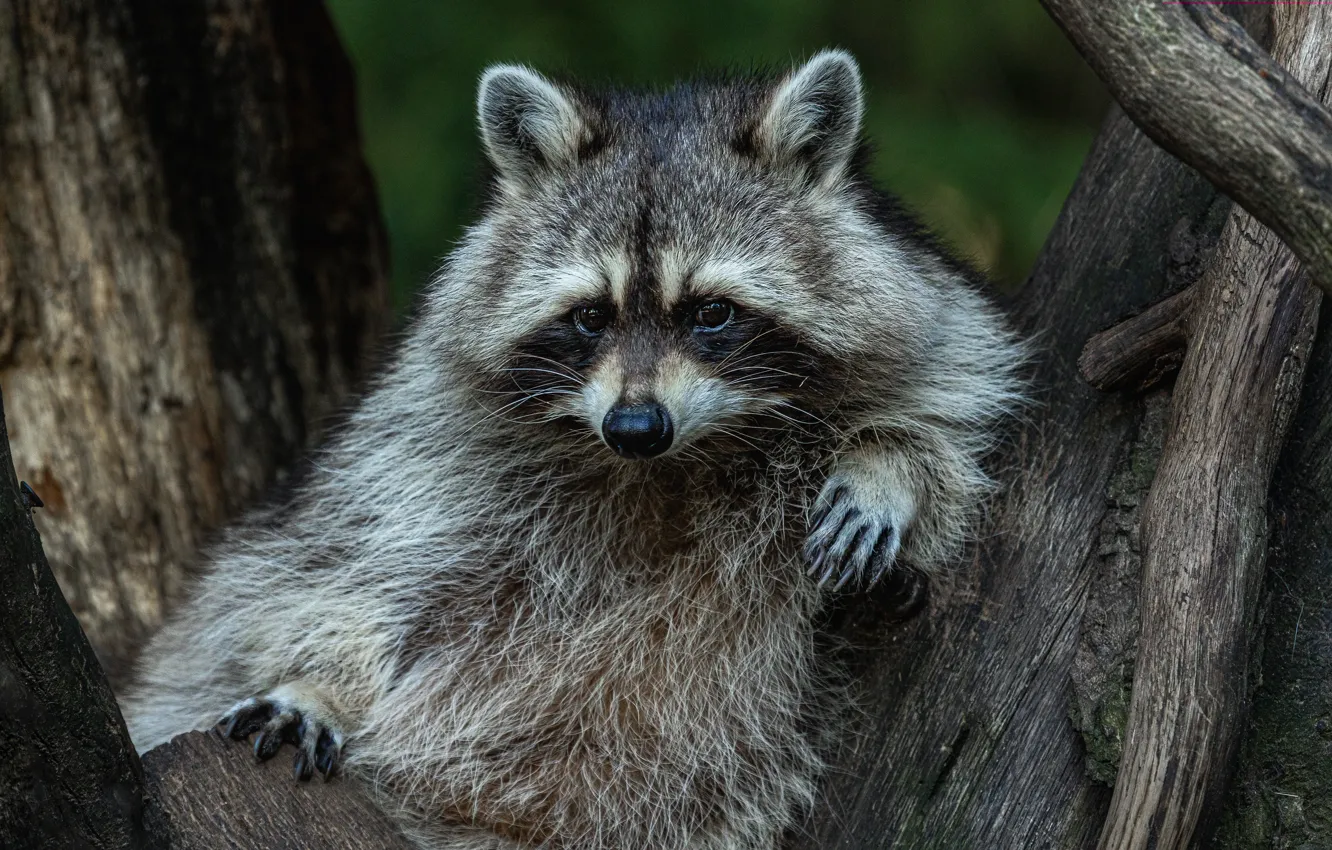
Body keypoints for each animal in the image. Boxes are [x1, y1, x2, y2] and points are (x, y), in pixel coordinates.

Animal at [123, 50, 1025, 849]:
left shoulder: (939, 323)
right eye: (590, 315)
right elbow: (339, 571)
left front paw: (887, 471)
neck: (676, 466)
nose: (636, 427)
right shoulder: (429, 449)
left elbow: (947, 416)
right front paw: (320, 680)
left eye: (712, 313)